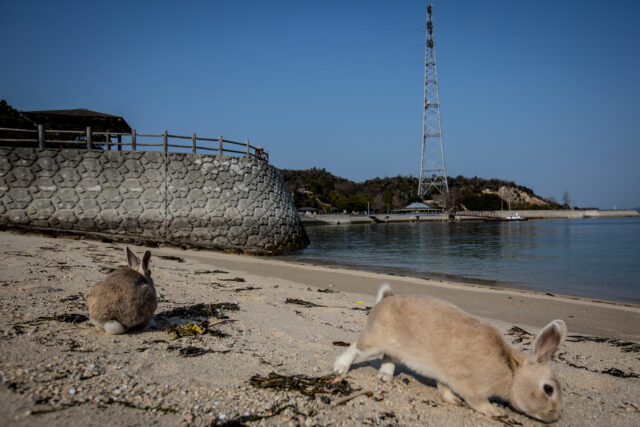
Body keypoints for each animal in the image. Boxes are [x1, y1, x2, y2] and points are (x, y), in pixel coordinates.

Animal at [332, 286, 568, 422]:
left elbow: (444, 390)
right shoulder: (470, 386)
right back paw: (340, 368)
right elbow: (477, 402)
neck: (511, 373)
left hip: (397, 349)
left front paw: (452, 401)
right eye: (548, 389)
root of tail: (384, 300)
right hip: (373, 342)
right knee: (355, 347)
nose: (556, 416)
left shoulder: (445, 375)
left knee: (388, 358)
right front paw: (495, 412)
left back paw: (385, 377)